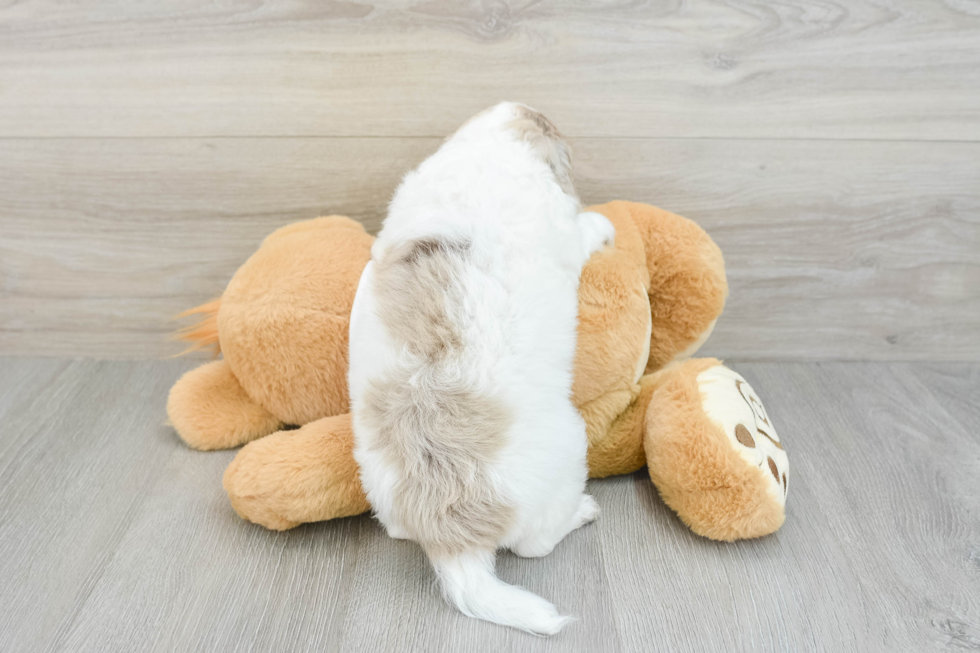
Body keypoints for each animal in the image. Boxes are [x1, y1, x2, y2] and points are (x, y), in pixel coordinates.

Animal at [350, 103, 612, 636]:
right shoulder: (563, 229)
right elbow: (582, 229)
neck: (488, 148)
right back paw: (583, 512)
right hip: (567, 456)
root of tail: (453, 540)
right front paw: (602, 223)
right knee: (536, 545)